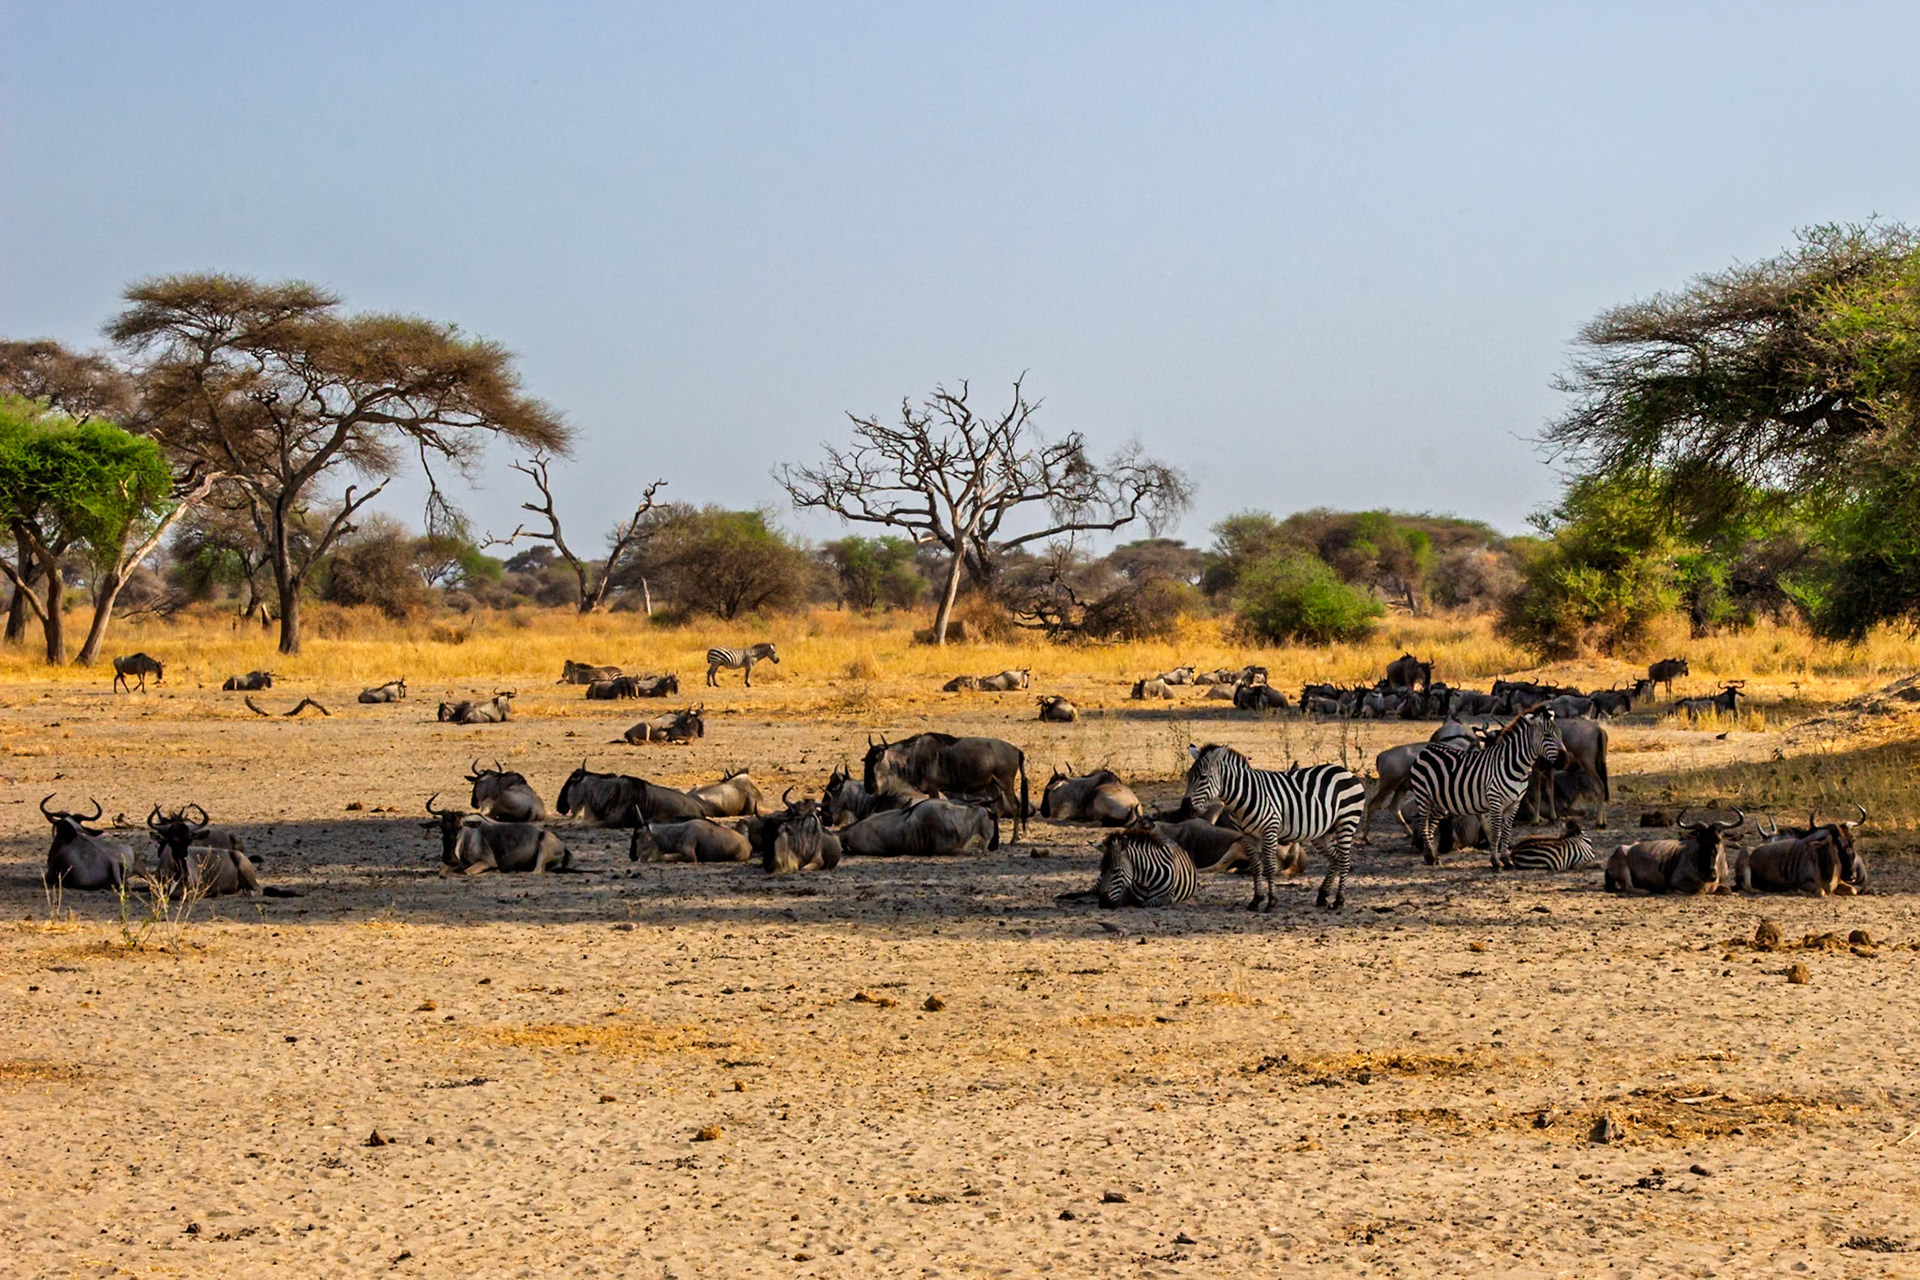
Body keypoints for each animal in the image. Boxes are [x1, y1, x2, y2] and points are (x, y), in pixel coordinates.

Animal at [1183, 743, 1367, 912]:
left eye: (1203, 777)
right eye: (1188, 776)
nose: (1186, 807)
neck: (1243, 797)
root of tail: (1345, 771)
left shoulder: (1269, 831)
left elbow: (1269, 868)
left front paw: (1271, 902)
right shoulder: (1246, 836)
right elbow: (1256, 868)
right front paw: (1256, 900)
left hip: (1347, 821)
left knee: (1344, 861)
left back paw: (1339, 901)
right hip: (1323, 832)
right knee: (1334, 859)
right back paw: (1322, 896)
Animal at [1406, 704, 1563, 871]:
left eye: (1560, 734)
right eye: (1547, 735)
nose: (1563, 759)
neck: (1514, 767)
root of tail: (1427, 748)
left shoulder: (1514, 803)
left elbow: (1506, 832)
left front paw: (1506, 860)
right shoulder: (1495, 801)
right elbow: (1496, 831)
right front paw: (1495, 861)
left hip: (1441, 801)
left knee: (1431, 823)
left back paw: (1432, 857)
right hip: (1423, 795)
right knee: (1424, 823)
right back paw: (1429, 856)